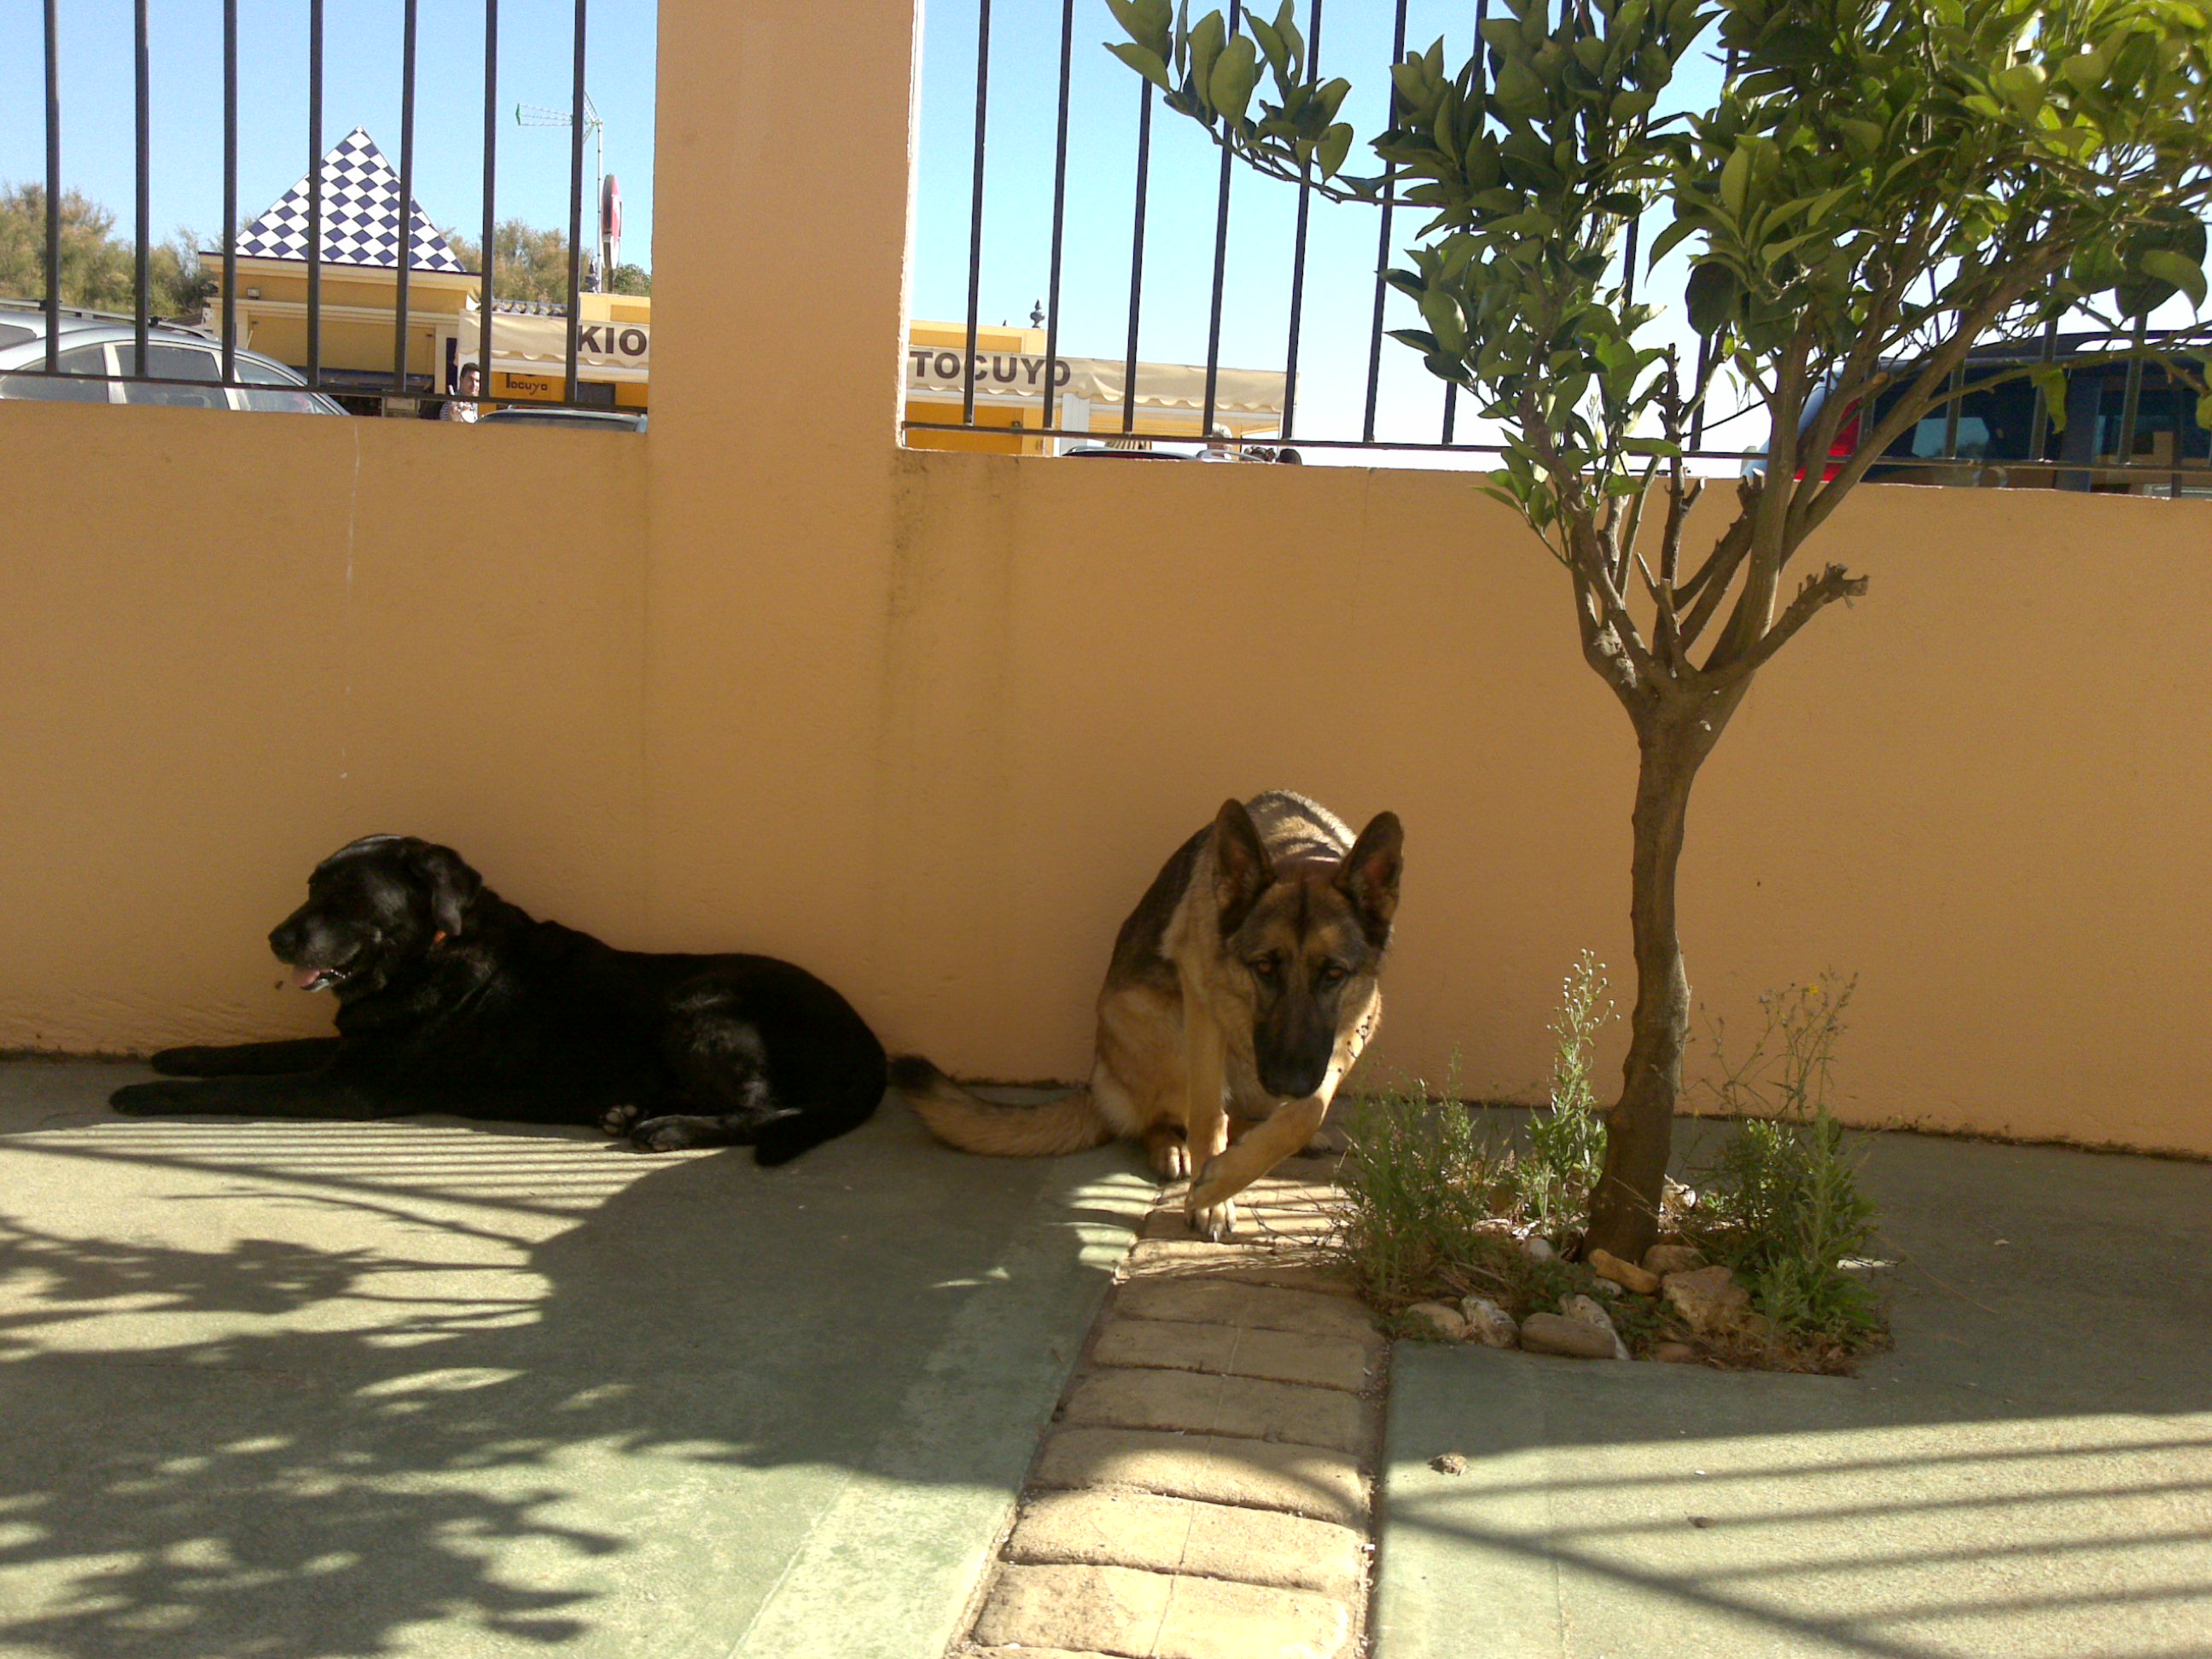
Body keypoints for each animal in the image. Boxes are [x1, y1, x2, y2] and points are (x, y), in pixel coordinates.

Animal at [108, 835, 887, 1165]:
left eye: (349, 897)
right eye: (309, 887)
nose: (274, 938)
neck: (428, 954)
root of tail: (870, 1041)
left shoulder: (348, 1086)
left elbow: (239, 1086)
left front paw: (142, 1094)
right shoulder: (349, 1045)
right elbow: (256, 1050)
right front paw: (180, 1053)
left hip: (700, 1003)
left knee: (767, 1109)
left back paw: (671, 1130)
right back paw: (632, 1109)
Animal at [893, 792, 1401, 1238]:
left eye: (1333, 973)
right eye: (1263, 968)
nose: (1287, 1083)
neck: (1296, 841)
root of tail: (1097, 1082)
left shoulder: (1360, 1019)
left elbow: (1308, 1110)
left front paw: (1242, 1163)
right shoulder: (1201, 1002)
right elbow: (1208, 1118)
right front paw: (1213, 1194)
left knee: (1240, 1113)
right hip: (1158, 1024)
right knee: (1167, 1118)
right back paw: (1176, 1149)